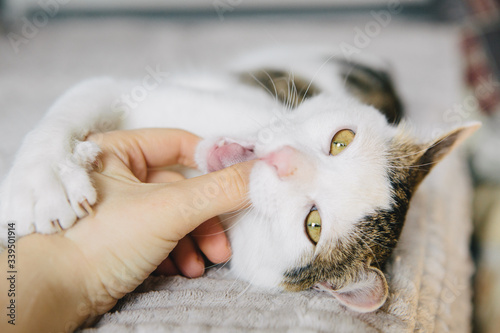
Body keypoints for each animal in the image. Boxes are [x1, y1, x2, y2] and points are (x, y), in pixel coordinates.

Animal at [0, 48, 478, 312]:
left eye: (314, 224)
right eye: (342, 140)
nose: (285, 161)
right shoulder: (124, 91)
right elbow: (72, 107)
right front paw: (41, 178)